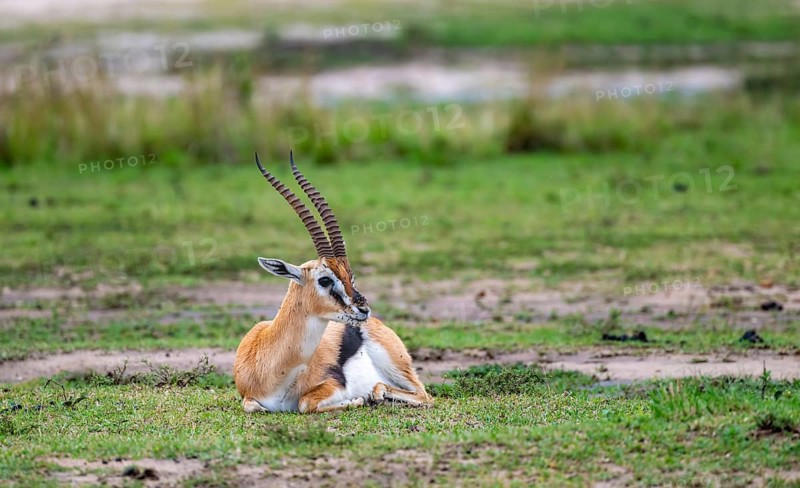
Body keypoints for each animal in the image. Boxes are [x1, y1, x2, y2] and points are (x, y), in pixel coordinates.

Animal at [233, 151, 433, 413]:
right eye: (325, 279)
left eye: (351, 275)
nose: (363, 309)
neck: (273, 369)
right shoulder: (249, 398)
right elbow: (254, 406)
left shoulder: (332, 383)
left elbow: (305, 403)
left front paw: (357, 399)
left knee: (421, 394)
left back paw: (374, 395)